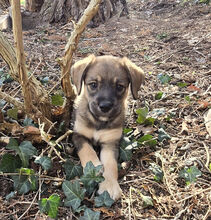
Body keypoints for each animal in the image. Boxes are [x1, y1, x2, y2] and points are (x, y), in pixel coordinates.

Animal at [70, 54, 144, 200]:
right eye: (93, 84)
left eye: (120, 86)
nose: (105, 107)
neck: (99, 122)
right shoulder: (78, 135)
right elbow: (87, 150)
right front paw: (94, 167)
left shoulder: (110, 143)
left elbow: (110, 164)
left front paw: (109, 186)